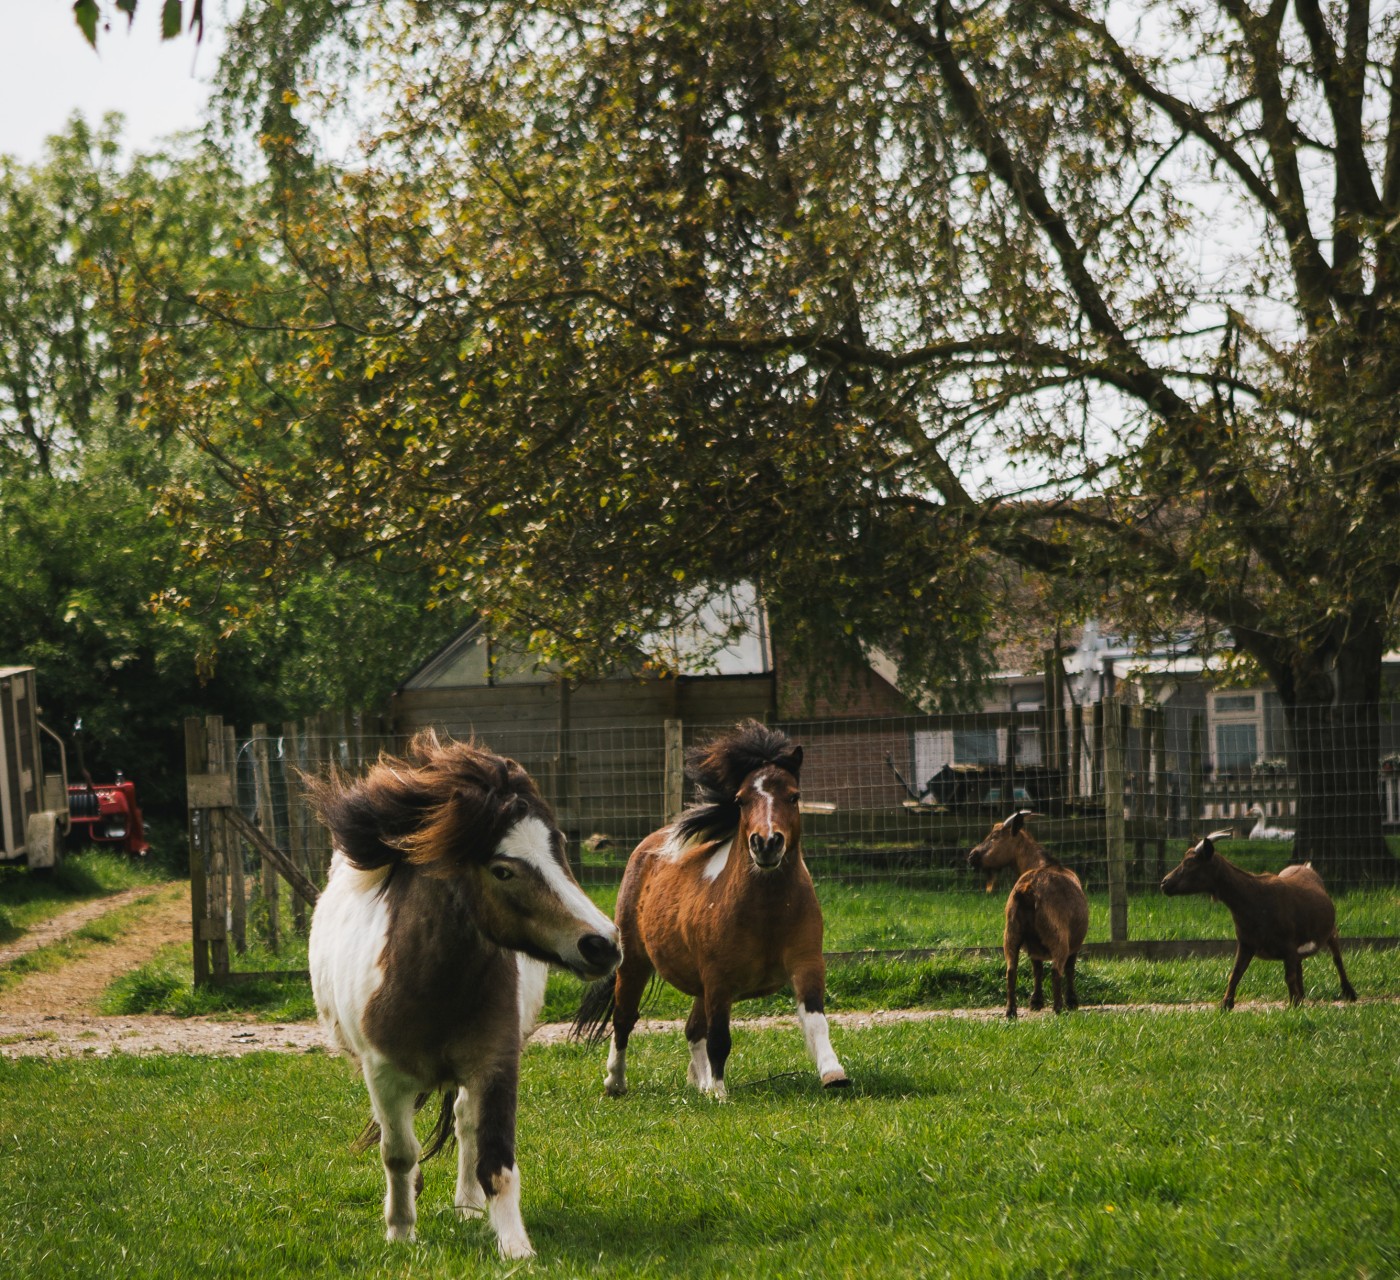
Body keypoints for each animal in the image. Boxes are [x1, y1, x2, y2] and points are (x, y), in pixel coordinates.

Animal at [309, 733, 621, 1254]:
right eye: (502, 870)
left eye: (558, 847)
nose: (603, 944)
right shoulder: (384, 1074)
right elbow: (397, 1153)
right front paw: (400, 1233)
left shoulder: (496, 1064)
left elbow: (495, 1158)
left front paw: (516, 1248)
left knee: (464, 1122)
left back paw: (470, 1208)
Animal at [574, 717, 845, 1097]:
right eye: (741, 800)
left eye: (794, 796)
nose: (766, 843)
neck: (767, 912)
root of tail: (647, 847)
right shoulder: (718, 979)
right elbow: (719, 1036)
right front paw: (719, 1091)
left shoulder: (806, 964)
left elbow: (815, 1020)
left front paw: (833, 1073)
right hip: (635, 963)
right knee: (625, 1018)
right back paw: (616, 1082)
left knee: (691, 1028)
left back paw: (699, 1085)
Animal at [968, 806, 1086, 1019]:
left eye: (995, 836)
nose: (972, 857)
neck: (1041, 863)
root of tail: (1027, 890)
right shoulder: (1075, 941)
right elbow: (1070, 967)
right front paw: (1072, 1001)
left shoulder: (1033, 944)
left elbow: (1036, 968)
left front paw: (1035, 1002)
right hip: (1056, 934)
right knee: (1057, 969)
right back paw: (1058, 1008)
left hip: (1011, 932)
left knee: (1011, 970)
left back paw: (1010, 1011)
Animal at [1159, 829, 1355, 1008]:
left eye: (1190, 863)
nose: (1164, 882)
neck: (1254, 897)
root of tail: (1306, 866)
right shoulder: (1247, 943)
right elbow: (1235, 973)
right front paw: (1226, 1005)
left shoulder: (1288, 945)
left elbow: (1288, 976)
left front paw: (1294, 1005)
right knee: (1301, 966)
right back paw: (1303, 996)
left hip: (1331, 931)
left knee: (1337, 958)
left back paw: (1349, 993)